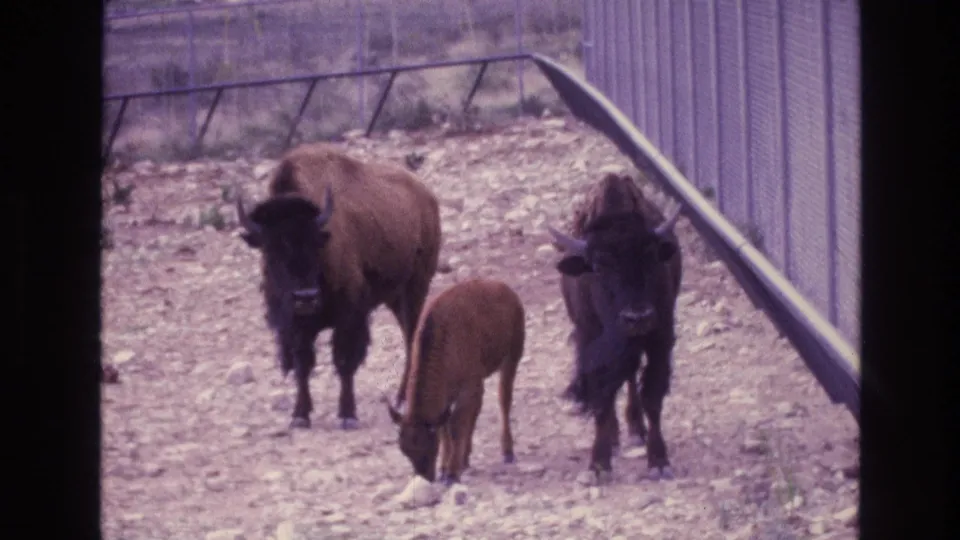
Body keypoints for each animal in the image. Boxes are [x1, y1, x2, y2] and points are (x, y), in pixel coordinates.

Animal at [236, 143, 442, 430]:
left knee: (412, 338)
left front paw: (347, 415)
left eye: (316, 244)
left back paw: (403, 400)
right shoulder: (295, 325)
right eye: (271, 249)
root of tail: (427, 196)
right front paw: (300, 415)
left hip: (415, 289)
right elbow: (302, 363)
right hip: (394, 297)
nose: (305, 297)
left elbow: (344, 361)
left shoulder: (349, 316)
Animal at [386, 278, 526, 485]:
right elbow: (447, 427)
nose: (425, 477)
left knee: (504, 400)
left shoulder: (467, 388)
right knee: (476, 412)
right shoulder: (449, 396)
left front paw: (451, 473)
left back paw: (507, 451)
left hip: (511, 359)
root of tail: (508, 291)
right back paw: (466, 457)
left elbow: (456, 426)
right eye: (404, 450)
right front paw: (446, 468)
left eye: (430, 445)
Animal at [546, 173, 683, 481]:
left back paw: (635, 429)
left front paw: (659, 462)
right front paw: (599, 464)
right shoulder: (589, 340)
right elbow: (601, 397)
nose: (638, 316)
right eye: (598, 267)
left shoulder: (660, 338)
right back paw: (616, 434)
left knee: (631, 377)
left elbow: (652, 395)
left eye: (652, 258)